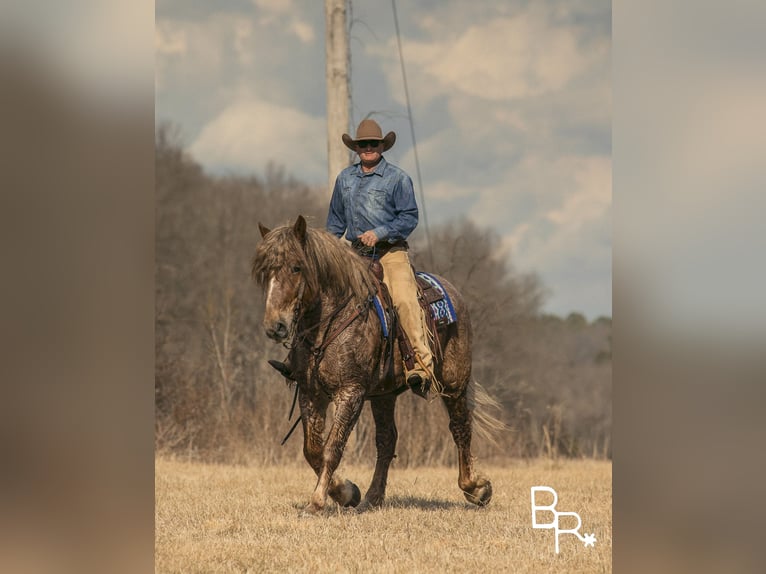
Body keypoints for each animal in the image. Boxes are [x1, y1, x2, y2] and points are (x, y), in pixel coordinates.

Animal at [249, 217, 496, 516]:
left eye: (297, 267)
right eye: (265, 272)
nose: (276, 326)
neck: (333, 319)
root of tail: (453, 293)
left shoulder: (351, 392)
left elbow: (332, 448)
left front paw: (317, 502)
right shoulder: (311, 393)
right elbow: (312, 449)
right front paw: (346, 492)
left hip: (454, 382)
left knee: (460, 428)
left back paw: (476, 488)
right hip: (383, 395)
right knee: (386, 441)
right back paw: (372, 497)